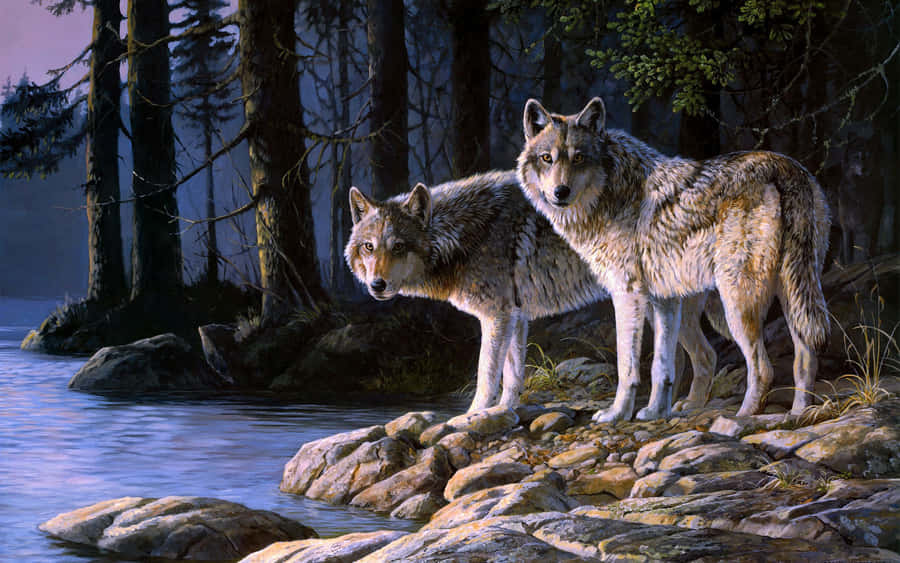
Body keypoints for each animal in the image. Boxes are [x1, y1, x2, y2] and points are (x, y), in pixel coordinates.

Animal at [346, 171, 719, 413]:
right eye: (369, 247)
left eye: (398, 247)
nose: (377, 285)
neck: (462, 234)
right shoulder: (515, 317)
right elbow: (512, 375)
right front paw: (501, 413)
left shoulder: (496, 317)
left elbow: (486, 374)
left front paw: (470, 417)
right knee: (699, 357)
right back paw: (681, 409)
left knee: (692, 357)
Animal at [518, 97, 830, 422]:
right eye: (547, 158)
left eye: (578, 158)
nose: (560, 192)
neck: (611, 190)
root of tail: (784, 166)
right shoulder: (663, 299)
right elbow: (663, 365)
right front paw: (655, 411)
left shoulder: (627, 294)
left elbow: (627, 366)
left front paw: (617, 414)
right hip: (790, 296)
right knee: (799, 358)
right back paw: (796, 414)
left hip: (738, 303)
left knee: (762, 367)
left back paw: (741, 416)